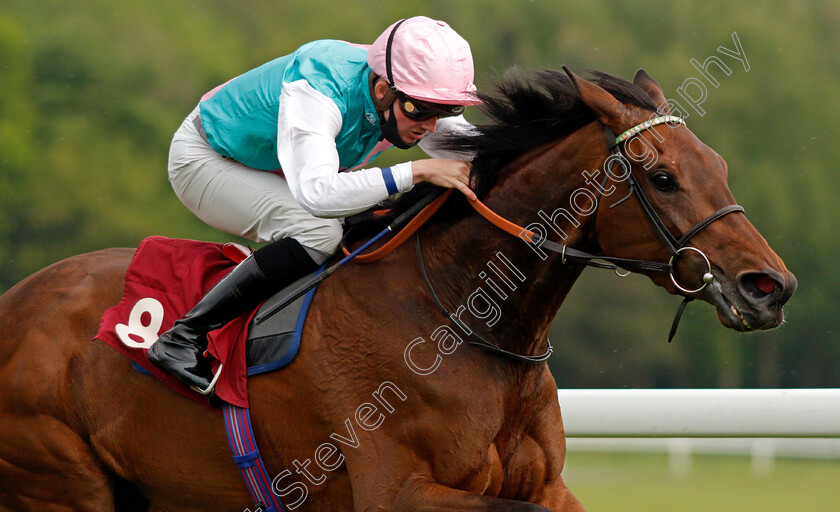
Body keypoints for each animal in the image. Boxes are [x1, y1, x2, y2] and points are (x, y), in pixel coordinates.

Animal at [0, 69, 796, 512]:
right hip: (64, 480)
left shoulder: (544, 484)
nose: (771, 287)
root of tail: (15, 300)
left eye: (719, 163)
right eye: (662, 177)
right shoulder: (398, 490)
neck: (460, 323)